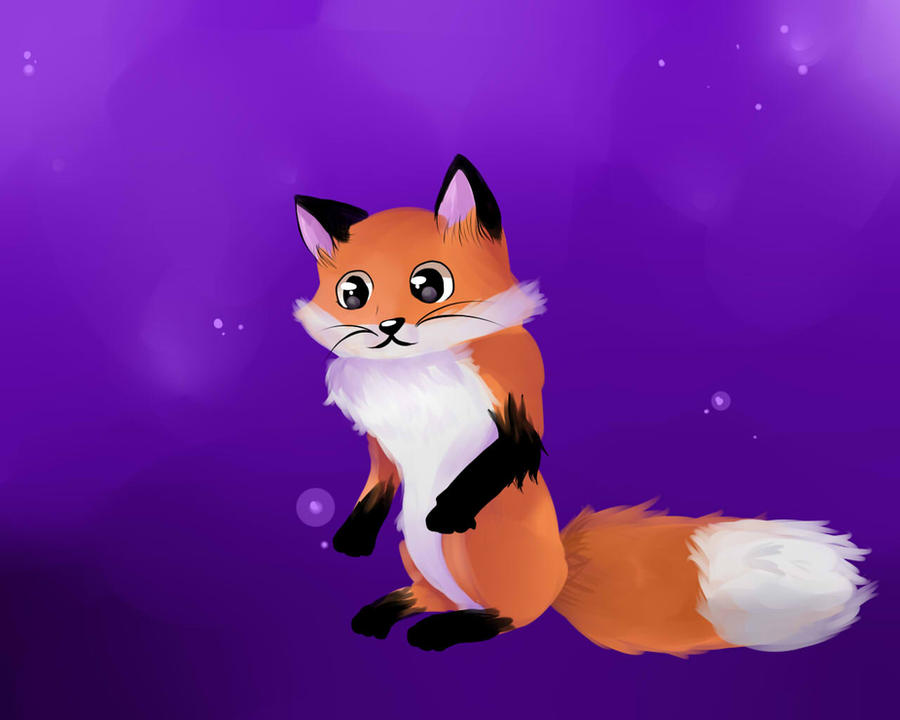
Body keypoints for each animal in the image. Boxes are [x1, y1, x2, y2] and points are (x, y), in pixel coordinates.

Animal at [292, 154, 874, 654]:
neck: (418, 372)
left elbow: (501, 459)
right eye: (353, 293)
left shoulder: (517, 413)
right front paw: (352, 537)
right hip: (412, 552)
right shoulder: (382, 444)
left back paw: (448, 628)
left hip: (466, 553)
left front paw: (449, 508)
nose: (387, 327)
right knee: (432, 596)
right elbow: (376, 486)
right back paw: (386, 612)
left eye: (428, 284)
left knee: (510, 616)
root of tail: (564, 572)